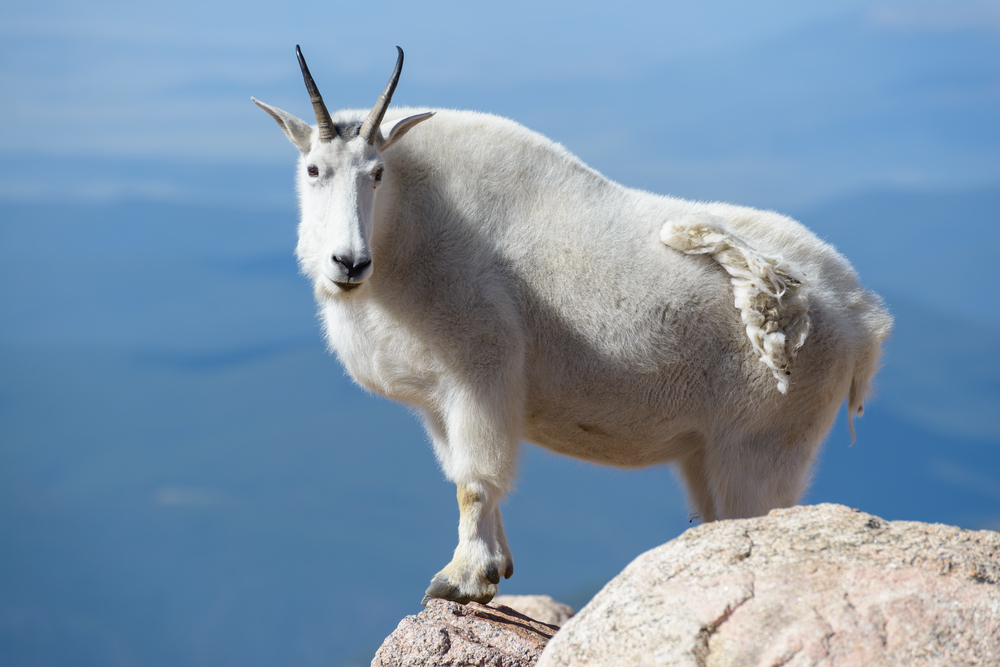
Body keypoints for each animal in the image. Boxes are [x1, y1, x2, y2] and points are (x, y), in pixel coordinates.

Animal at [252, 46, 893, 606]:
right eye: (313, 169)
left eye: (378, 173)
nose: (348, 263)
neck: (406, 231)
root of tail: (863, 318)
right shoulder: (439, 399)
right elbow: (463, 476)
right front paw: (497, 567)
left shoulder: (480, 371)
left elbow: (474, 480)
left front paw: (460, 580)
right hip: (714, 449)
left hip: (766, 441)